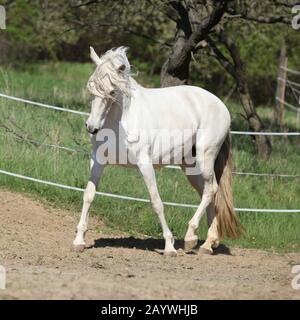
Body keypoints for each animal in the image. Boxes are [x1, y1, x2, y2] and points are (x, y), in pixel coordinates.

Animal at [72, 46, 241, 256]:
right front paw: (79, 240)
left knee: (211, 190)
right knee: (208, 192)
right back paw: (207, 243)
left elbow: (156, 201)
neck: (120, 121)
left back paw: (191, 238)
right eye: (91, 86)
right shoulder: (97, 161)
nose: (92, 127)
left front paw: (169, 246)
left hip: (205, 158)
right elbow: (88, 195)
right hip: (190, 167)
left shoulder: (145, 164)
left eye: (112, 91)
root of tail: (221, 105)